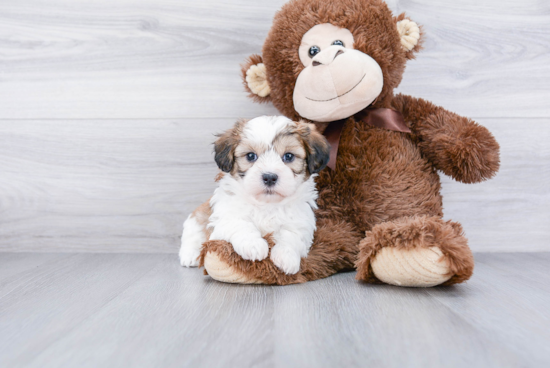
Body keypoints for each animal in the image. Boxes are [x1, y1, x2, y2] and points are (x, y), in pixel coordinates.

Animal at [179, 116, 330, 274]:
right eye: (251, 156)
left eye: (288, 156)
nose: (269, 177)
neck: (266, 204)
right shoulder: (226, 215)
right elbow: (241, 224)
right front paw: (253, 245)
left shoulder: (301, 220)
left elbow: (291, 234)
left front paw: (287, 256)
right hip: (196, 220)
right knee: (193, 235)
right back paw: (190, 255)